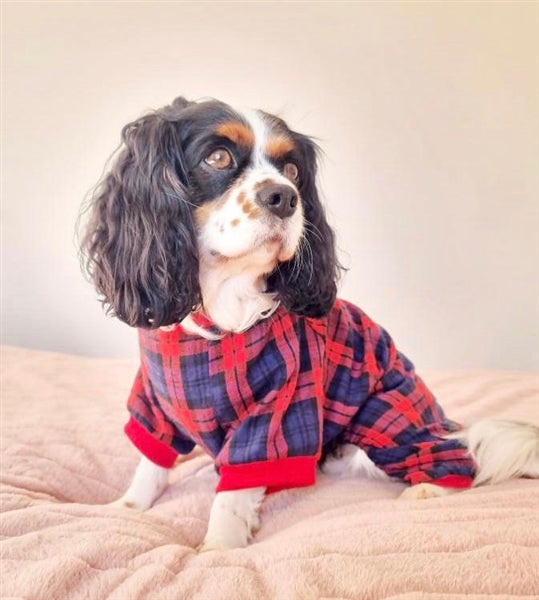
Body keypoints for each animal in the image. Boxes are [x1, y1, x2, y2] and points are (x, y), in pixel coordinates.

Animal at [80, 96, 539, 552]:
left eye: (292, 170)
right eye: (217, 157)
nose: (284, 197)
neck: (220, 311)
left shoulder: (276, 409)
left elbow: (233, 493)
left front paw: (218, 548)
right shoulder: (156, 400)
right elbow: (151, 461)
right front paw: (126, 508)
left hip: (388, 414)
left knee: (459, 458)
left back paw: (428, 488)